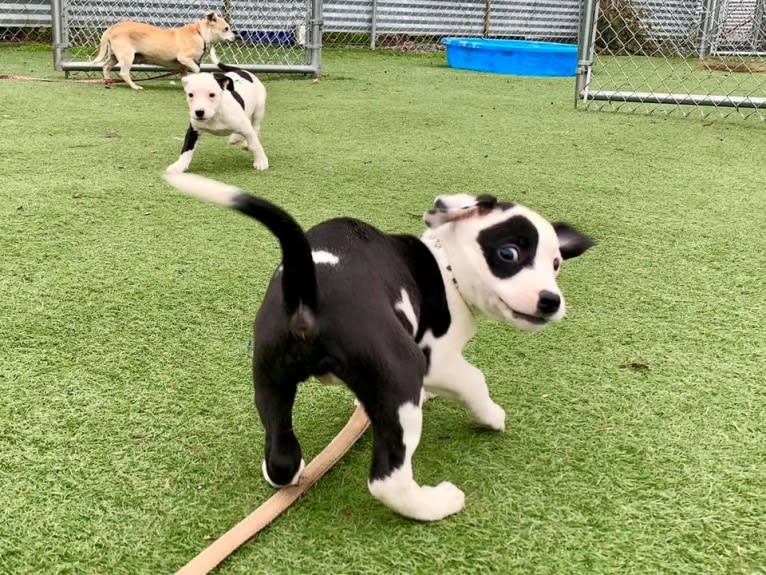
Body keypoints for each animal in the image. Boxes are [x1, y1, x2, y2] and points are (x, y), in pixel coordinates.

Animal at [91, 11, 234, 90]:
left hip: (115, 56)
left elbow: (186, 77)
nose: (235, 37)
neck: (200, 34)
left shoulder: (183, 68)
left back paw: (108, 82)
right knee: (124, 73)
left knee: (106, 66)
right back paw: (134, 86)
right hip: (127, 56)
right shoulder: (185, 59)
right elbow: (197, 69)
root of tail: (112, 28)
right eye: (226, 28)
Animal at [162, 173, 596, 524]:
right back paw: (435, 505)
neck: (447, 267)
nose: (550, 301)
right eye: (509, 254)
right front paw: (490, 416)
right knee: (388, 480)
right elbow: (474, 380)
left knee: (281, 453)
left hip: (269, 377)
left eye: (556, 264)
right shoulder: (436, 360)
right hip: (400, 375)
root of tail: (307, 289)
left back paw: (289, 468)